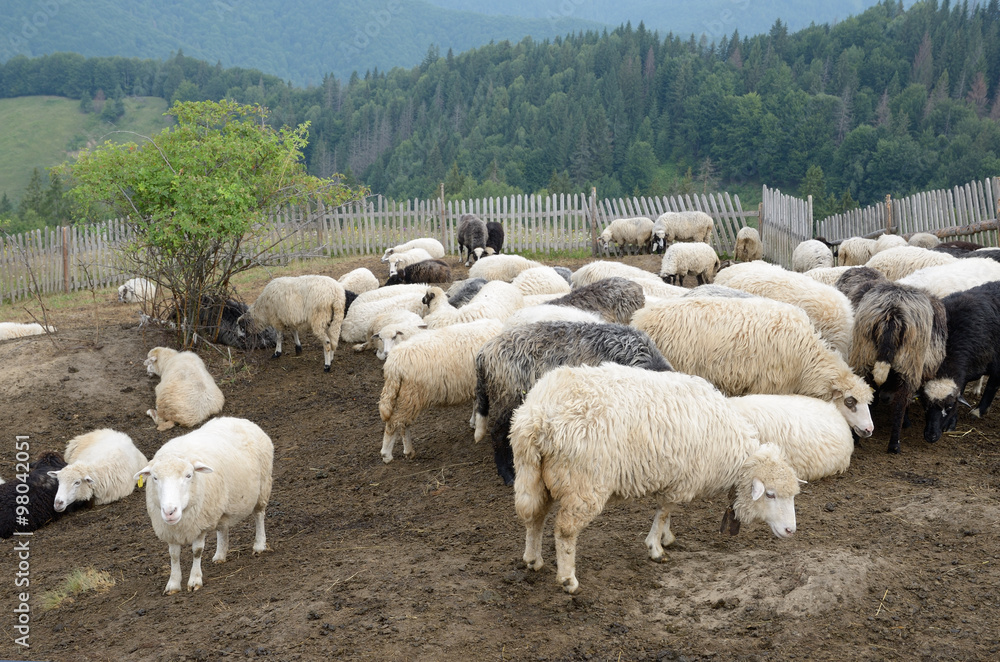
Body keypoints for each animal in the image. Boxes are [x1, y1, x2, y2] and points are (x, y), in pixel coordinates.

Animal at [134, 417, 273, 594]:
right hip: (220, 503)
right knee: (222, 527)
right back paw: (220, 554)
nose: (170, 511)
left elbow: (197, 551)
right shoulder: (169, 530)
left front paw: (194, 580)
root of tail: (241, 419)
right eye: (155, 478)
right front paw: (173, 584)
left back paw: (259, 545)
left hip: (263, 486)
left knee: (259, 515)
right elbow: (174, 555)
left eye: (189, 475)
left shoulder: (200, 524)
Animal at [379, 319, 504, 463]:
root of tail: (392, 366)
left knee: (402, 423)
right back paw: (388, 454)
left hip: (404, 395)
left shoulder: (475, 382)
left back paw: (406, 451)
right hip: (411, 394)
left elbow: (476, 403)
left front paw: (474, 422)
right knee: (395, 423)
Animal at [511, 363, 801, 594]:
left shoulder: (674, 475)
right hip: (583, 483)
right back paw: (568, 579)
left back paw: (533, 559)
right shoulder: (683, 480)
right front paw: (656, 548)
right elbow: (664, 511)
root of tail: (537, 417)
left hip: (534, 474)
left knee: (534, 516)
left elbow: (666, 511)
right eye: (770, 494)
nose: (791, 531)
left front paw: (666, 537)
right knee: (565, 531)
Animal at [846, 279, 947, 453]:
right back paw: (894, 444)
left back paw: (857, 437)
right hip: (910, 364)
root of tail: (892, 315)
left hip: (863, 355)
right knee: (900, 404)